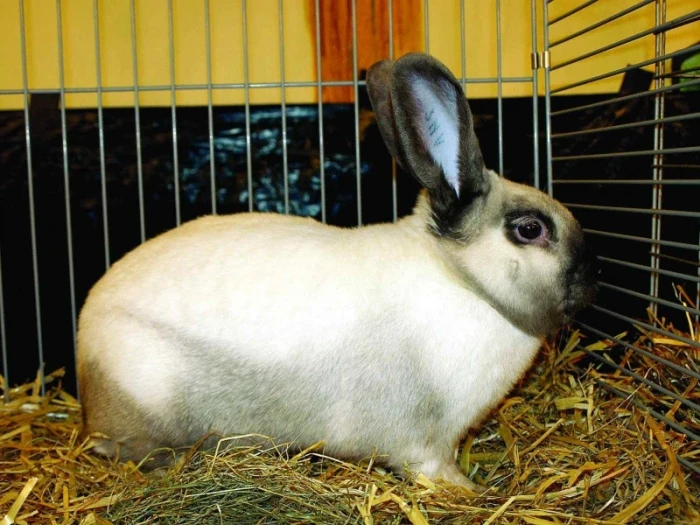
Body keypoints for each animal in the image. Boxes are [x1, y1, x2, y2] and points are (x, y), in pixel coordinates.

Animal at [76, 52, 597, 492]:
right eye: (529, 229)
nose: (591, 279)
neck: (463, 281)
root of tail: (84, 347)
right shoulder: (424, 442)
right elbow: (434, 470)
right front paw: (472, 492)